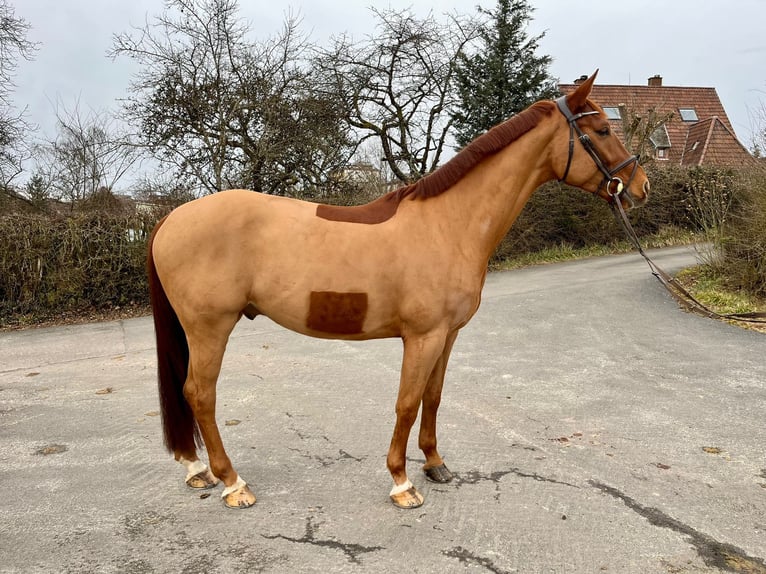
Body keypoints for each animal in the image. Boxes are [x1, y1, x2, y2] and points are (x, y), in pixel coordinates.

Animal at [147, 73, 652, 512]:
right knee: (200, 394)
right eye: (603, 129)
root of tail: (170, 218)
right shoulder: (423, 337)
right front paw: (402, 482)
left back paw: (197, 469)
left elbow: (434, 396)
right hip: (210, 328)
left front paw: (435, 464)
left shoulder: (447, 335)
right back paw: (233, 483)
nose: (642, 186)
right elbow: (406, 404)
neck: (449, 223)